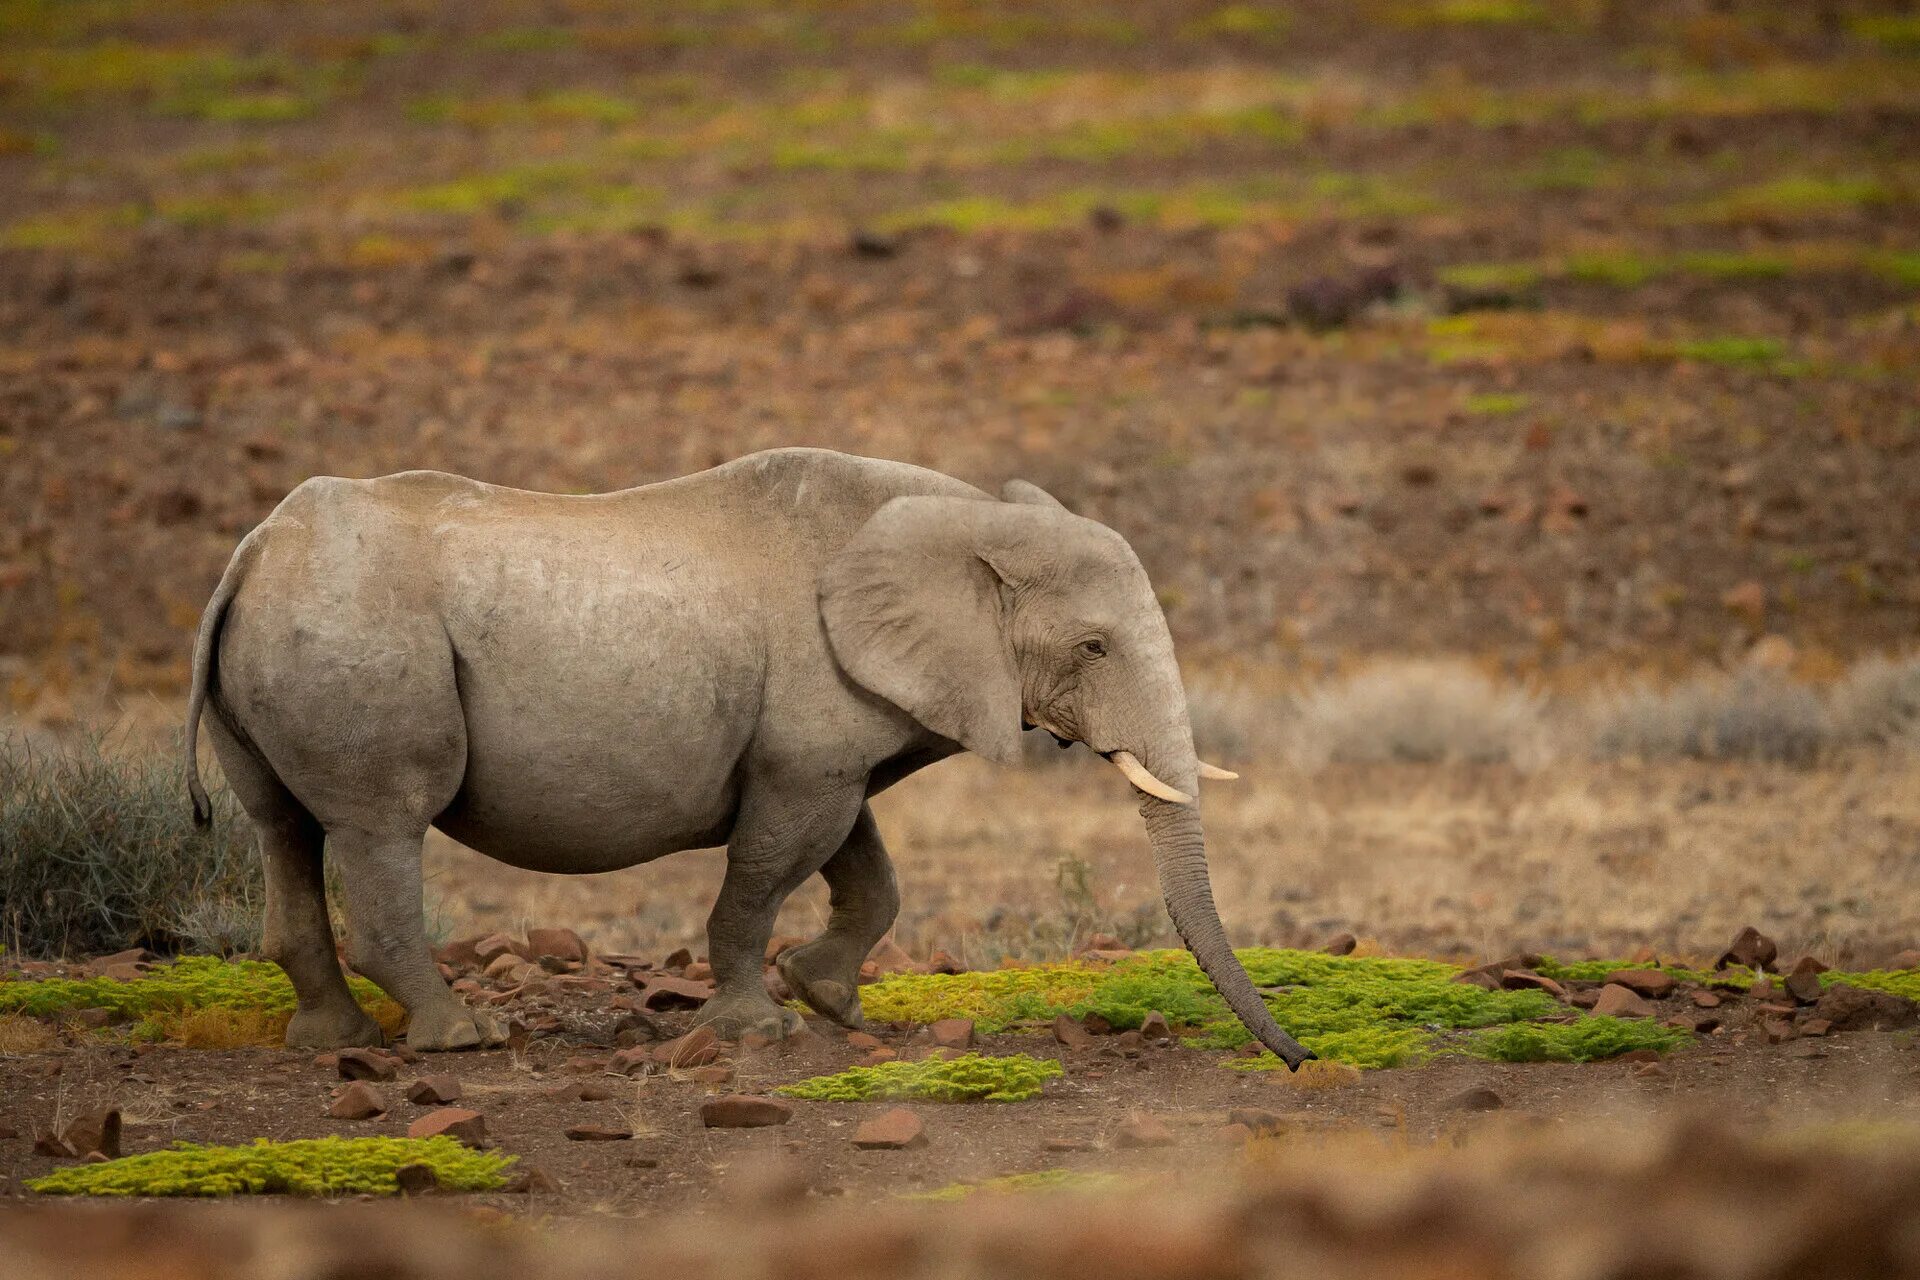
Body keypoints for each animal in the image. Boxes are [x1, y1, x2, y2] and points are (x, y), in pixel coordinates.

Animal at [183, 445, 1320, 1066]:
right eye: (1092, 649)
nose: (1301, 1059)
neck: (969, 535)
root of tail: (249, 554)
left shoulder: (828, 756)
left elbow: (871, 875)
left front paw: (831, 1001)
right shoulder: (804, 767)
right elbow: (765, 878)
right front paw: (759, 1030)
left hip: (296, 623)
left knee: (283, 823)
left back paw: (334, 1044)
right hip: (356, 628)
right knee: (382, 822)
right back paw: (466, 1041)